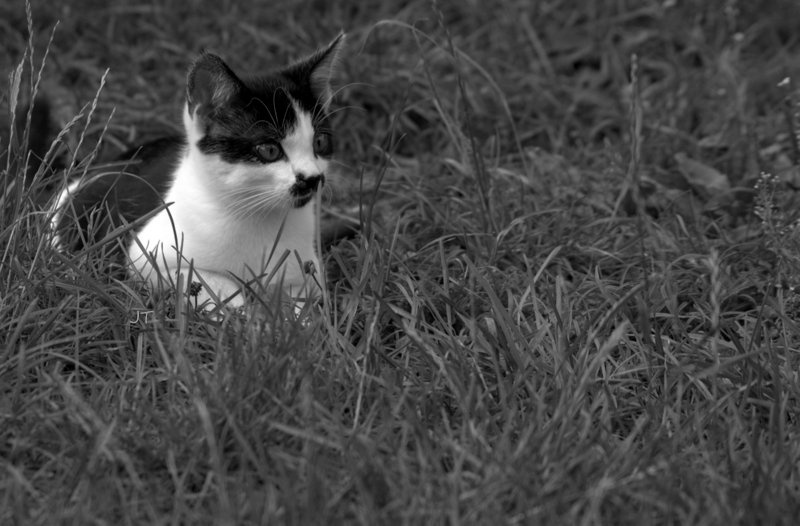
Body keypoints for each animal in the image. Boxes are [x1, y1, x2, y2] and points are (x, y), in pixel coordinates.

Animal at [52, 33, 346, 310]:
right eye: (269, 150)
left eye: (320, 142)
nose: (312, 178)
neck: (258, 215)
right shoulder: (146, 256)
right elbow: (207, 280)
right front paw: (241, 314)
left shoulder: (306, 270)